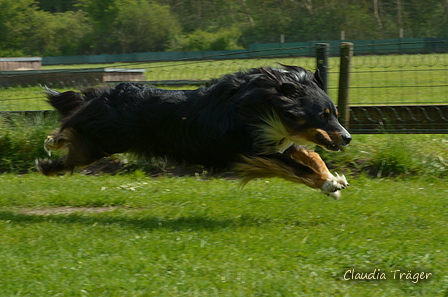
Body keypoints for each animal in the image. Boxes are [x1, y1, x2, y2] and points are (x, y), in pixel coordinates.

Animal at [36, 66, 352, 198]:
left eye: (335, 113)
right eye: (322, 115)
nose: (348, 137)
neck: (265, 105)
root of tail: (107, 93)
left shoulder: (273, 143)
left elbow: (311, 156)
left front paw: (334, 178)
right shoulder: (251, 151)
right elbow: (298, 168)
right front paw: (328, 184)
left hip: (98, 140)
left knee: (71, 145)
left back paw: (49, 156)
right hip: (101, 140)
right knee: (70, 133)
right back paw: (50, 147)